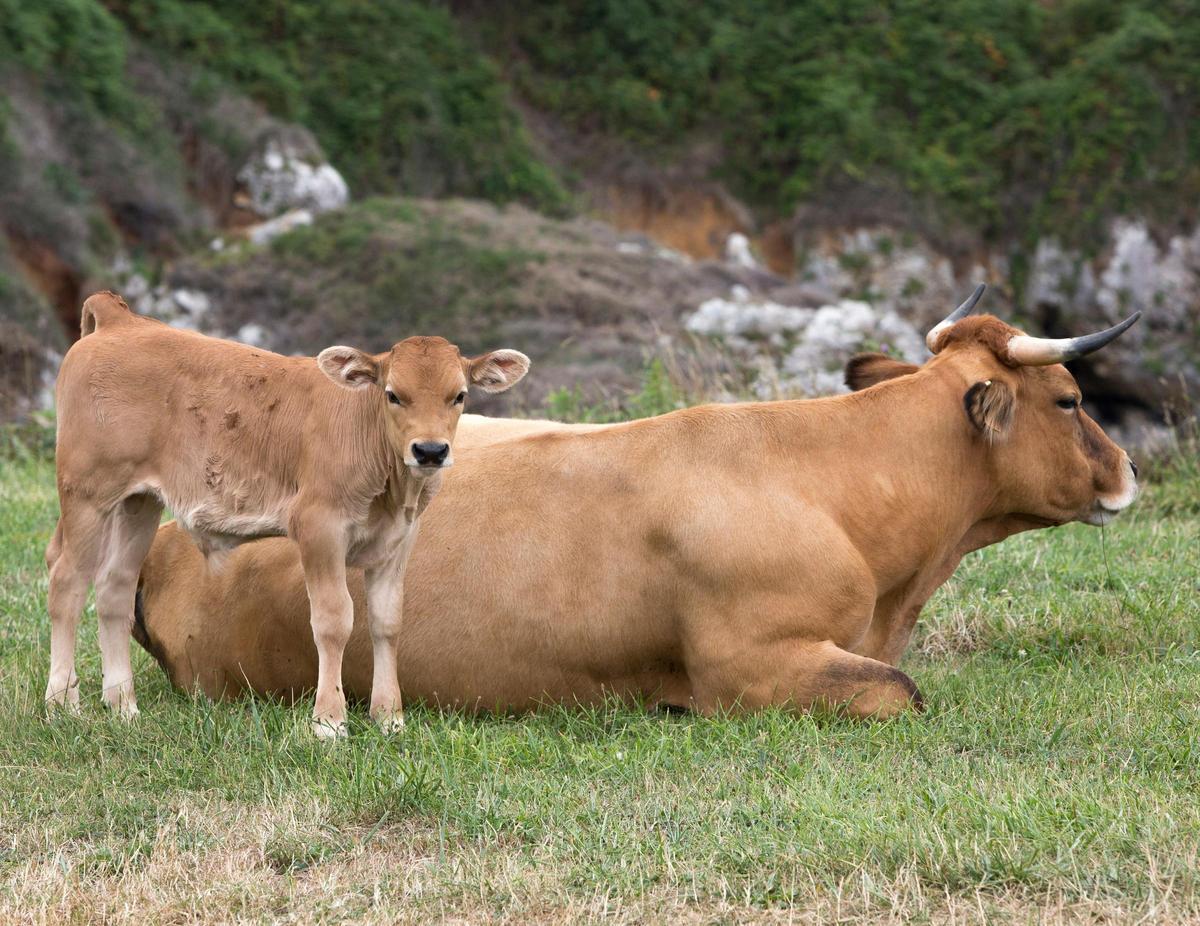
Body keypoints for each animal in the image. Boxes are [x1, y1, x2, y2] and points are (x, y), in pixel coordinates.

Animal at [45, 292, 529, 736]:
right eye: (393, 394)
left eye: (459, 396)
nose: (430, 450)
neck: (392, 489)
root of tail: (120, 320)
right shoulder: (319, 527)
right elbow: (334, 620)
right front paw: (330, 721)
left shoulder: (399, 539)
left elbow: (387, 621)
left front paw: (390, 716)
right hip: (86, 492)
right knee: (66, 582)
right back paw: (63, 703)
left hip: (138, 502)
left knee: (115, 588)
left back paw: (123, 706)